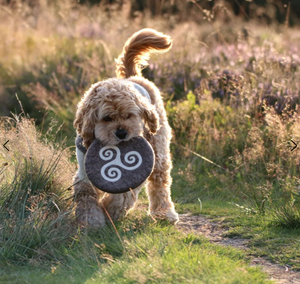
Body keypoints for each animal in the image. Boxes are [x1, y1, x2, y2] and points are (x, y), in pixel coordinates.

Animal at [73, 28, 178, 229]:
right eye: (107, 118)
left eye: (129, 115)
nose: (121, 133)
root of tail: (132, 77)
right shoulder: (84, 173)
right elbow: (86, 196)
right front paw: (91, 221)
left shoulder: (134, 174)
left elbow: (122, 195)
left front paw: (110, 211)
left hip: (158, 151)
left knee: (160, 183)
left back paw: (164, 213)